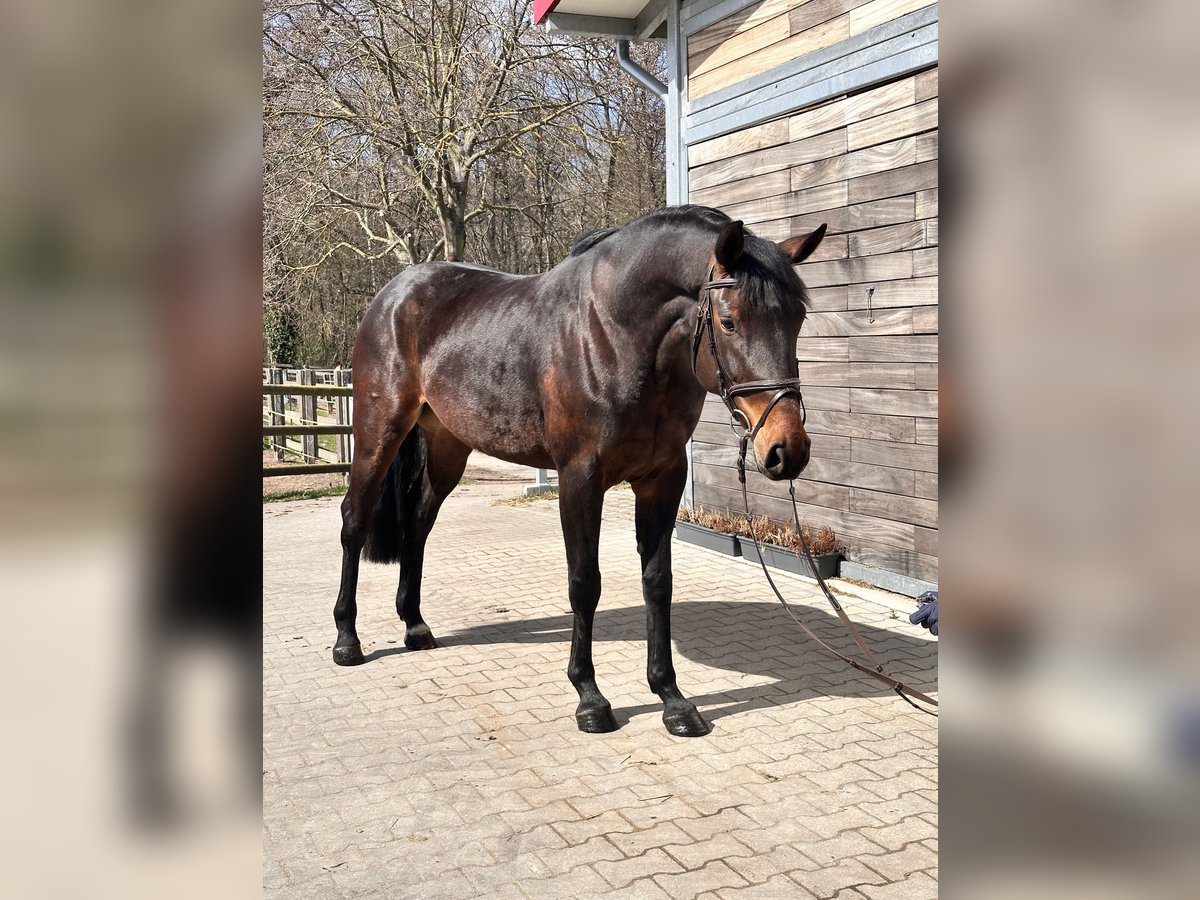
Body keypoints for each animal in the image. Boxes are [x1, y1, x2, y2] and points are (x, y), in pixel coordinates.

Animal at [333, 205, 827, 737]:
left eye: (798, 318)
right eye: (730, 321)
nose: (788, 449)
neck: (614, 336)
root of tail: (395, 293)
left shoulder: (662, 481)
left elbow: (658, 582)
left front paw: (672, 699)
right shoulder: (579, 479)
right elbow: (584, 582)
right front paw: (589, 698)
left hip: (448, 446)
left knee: (419, 525)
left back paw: (415, 626)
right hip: (378, 433)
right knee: (354, 522)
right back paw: (347, 639)